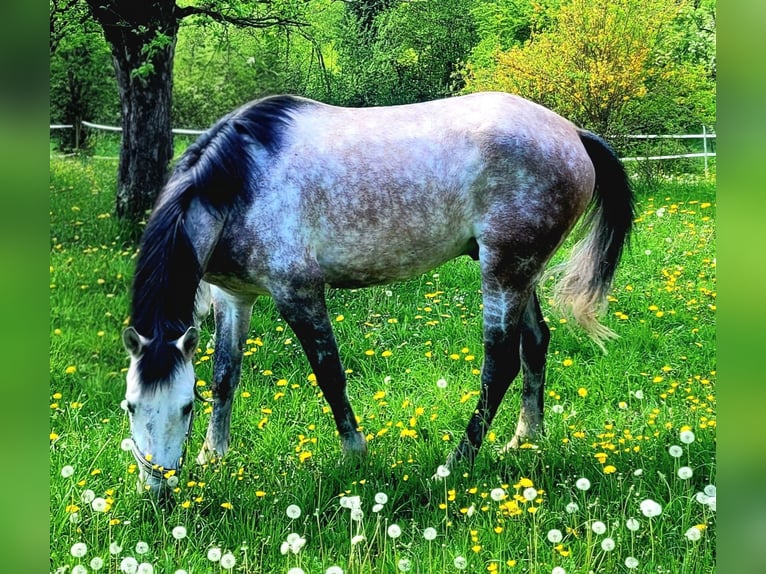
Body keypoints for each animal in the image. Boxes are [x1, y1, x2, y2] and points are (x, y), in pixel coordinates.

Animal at [122, 92, 633, 495]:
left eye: (184, 407)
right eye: (130, 405)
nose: (159, 492)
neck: (242, 179)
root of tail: (572, 133)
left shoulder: (298, 293)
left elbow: (329, 375)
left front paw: (355, 454)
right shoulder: (234, 298)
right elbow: (226, 377)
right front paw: (214, 456)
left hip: (505, 269)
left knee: (501, 362)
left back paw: (454, 465)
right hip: (521, 273)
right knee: (536, 342)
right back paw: (526, 439)